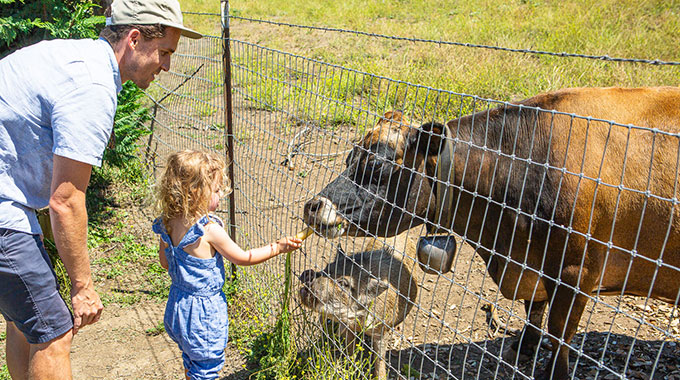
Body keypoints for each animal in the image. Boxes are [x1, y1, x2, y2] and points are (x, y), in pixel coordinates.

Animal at [306, 87, 680, 378]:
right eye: (349, 159)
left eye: (377, 165)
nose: (313, 205)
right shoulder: (533, 263)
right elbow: (534, 308)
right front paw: (524, 346)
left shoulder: (576, 272)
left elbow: (560, 333)